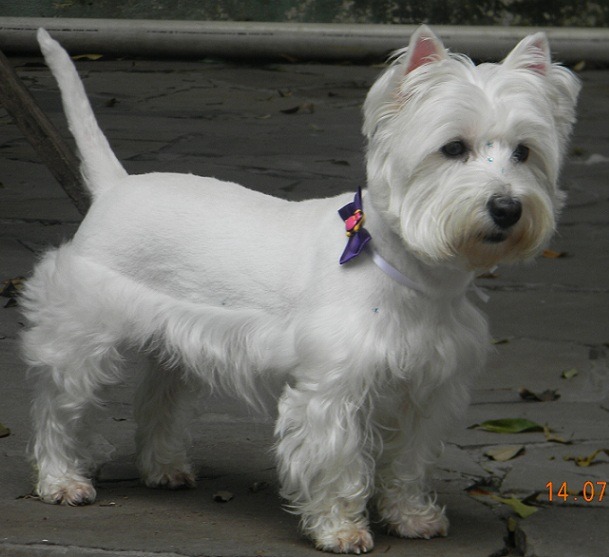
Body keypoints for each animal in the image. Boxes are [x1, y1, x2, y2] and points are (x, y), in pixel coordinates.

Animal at [21, 25, 576, 552]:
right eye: (453, 148)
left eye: (524, 152)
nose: (507, 208)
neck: (415, 272)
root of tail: (114, 186)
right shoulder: (332, 388)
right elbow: (338, 461)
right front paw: (341, 531)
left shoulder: (427, 388)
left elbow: (408, 461)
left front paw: (411, 517)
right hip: (82, 333)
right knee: (60, 405)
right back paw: (63, 481)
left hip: (173, 340)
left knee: (160, 397)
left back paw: (164, 469)